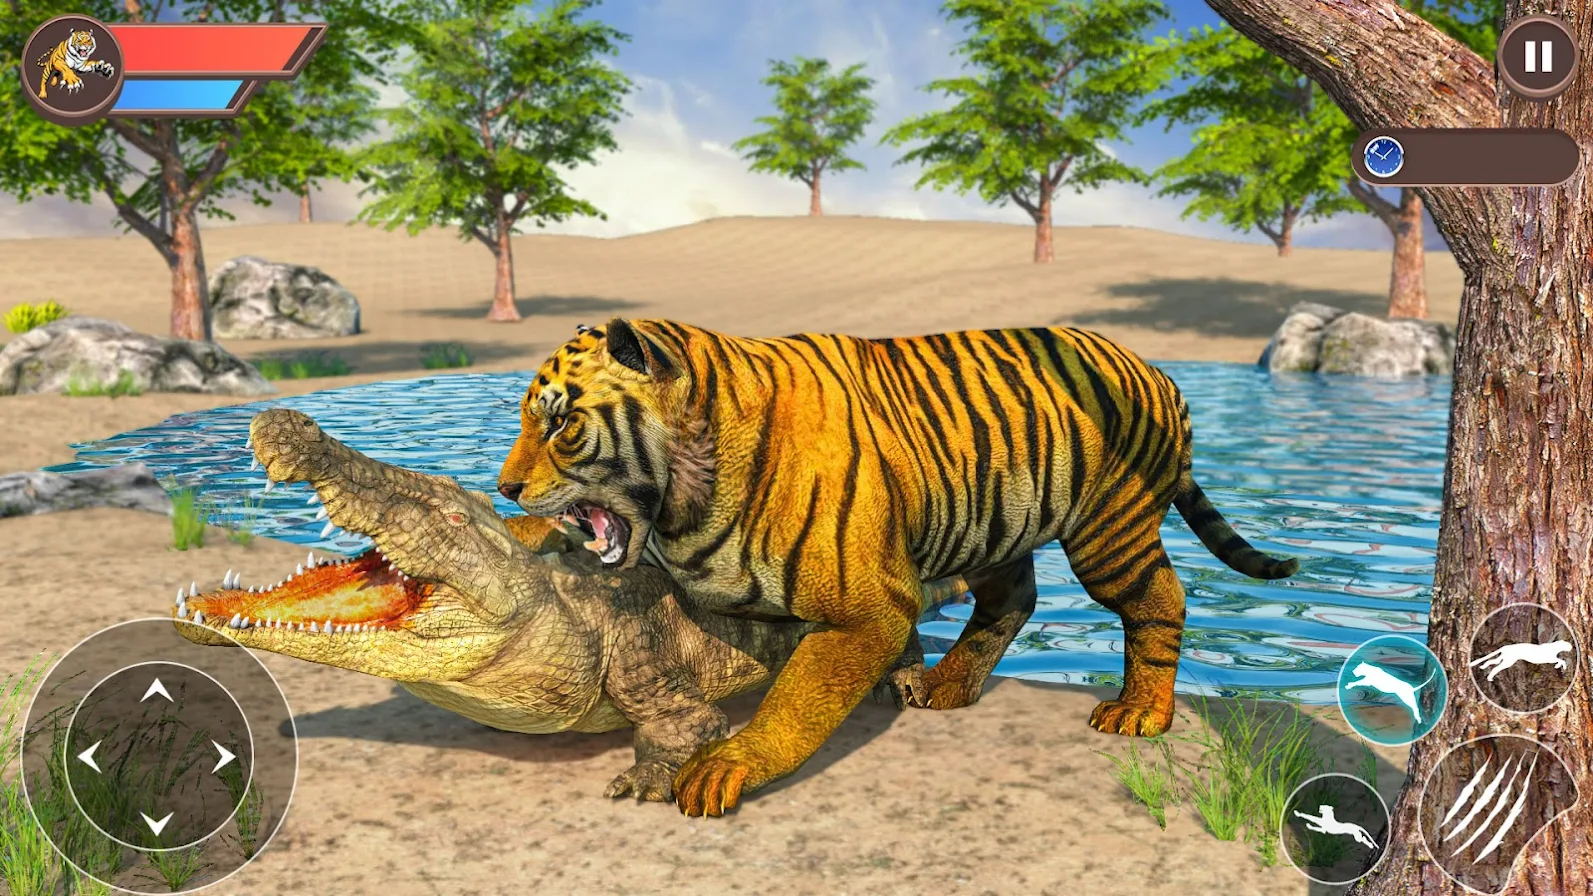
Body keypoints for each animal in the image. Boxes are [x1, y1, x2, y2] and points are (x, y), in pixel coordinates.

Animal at [498, 319, 1299, 816]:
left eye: (562, 423)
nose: (506, 488)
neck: (684, 498)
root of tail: (1155, 368)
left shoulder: (867, 610)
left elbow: (795, 701)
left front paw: (730, 765)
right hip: (994, 525)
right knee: (1015, 597)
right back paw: (946, 686)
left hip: (1110, 531)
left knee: (1160, 598)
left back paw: (1141, 711)